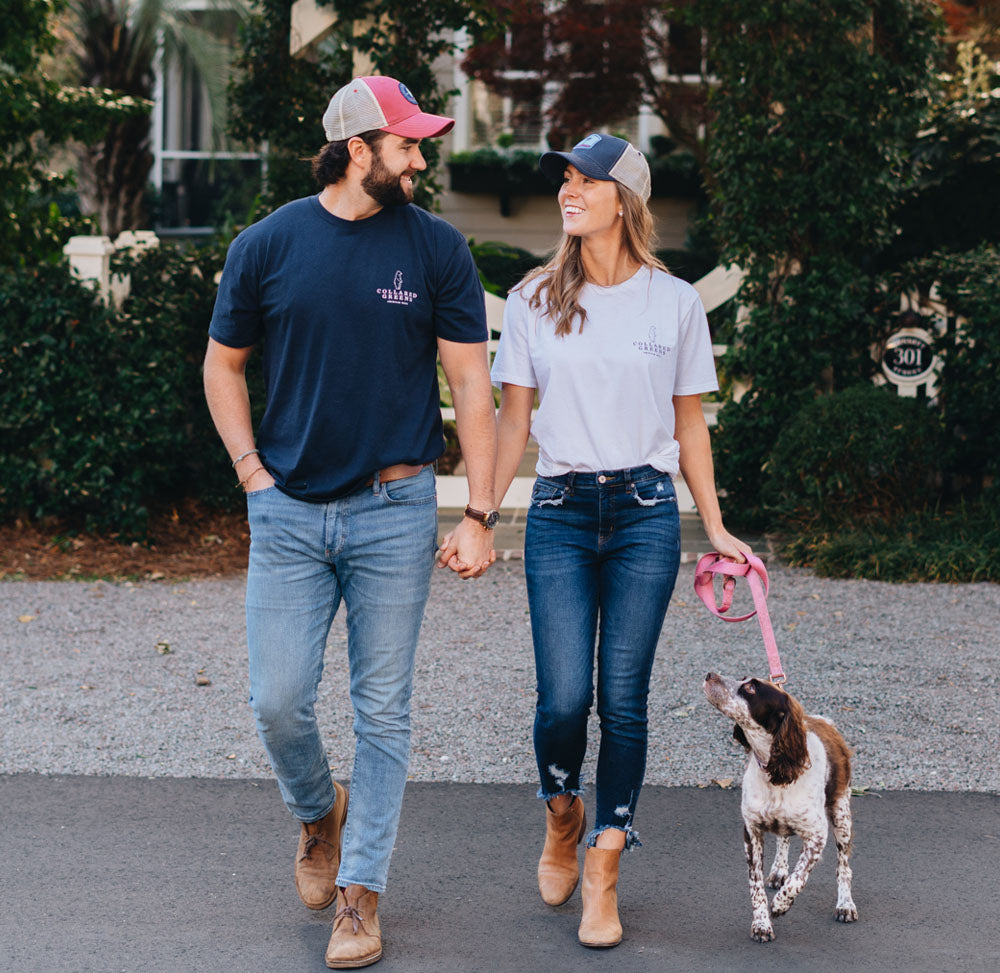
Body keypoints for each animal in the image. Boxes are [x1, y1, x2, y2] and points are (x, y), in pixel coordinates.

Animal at [703, 672, 858, 942]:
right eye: (742, 678)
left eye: (751, 688)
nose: (710, 674)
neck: (775, 771)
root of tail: (825, 721)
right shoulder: (752, 832)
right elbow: (756, 886)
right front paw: (761, 923)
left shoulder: (817, 835)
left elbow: (799, 877)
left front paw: (780, 904)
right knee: (783, 839)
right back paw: (778, 871)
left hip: (841, 814)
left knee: (843, 865)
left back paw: (845, 904)